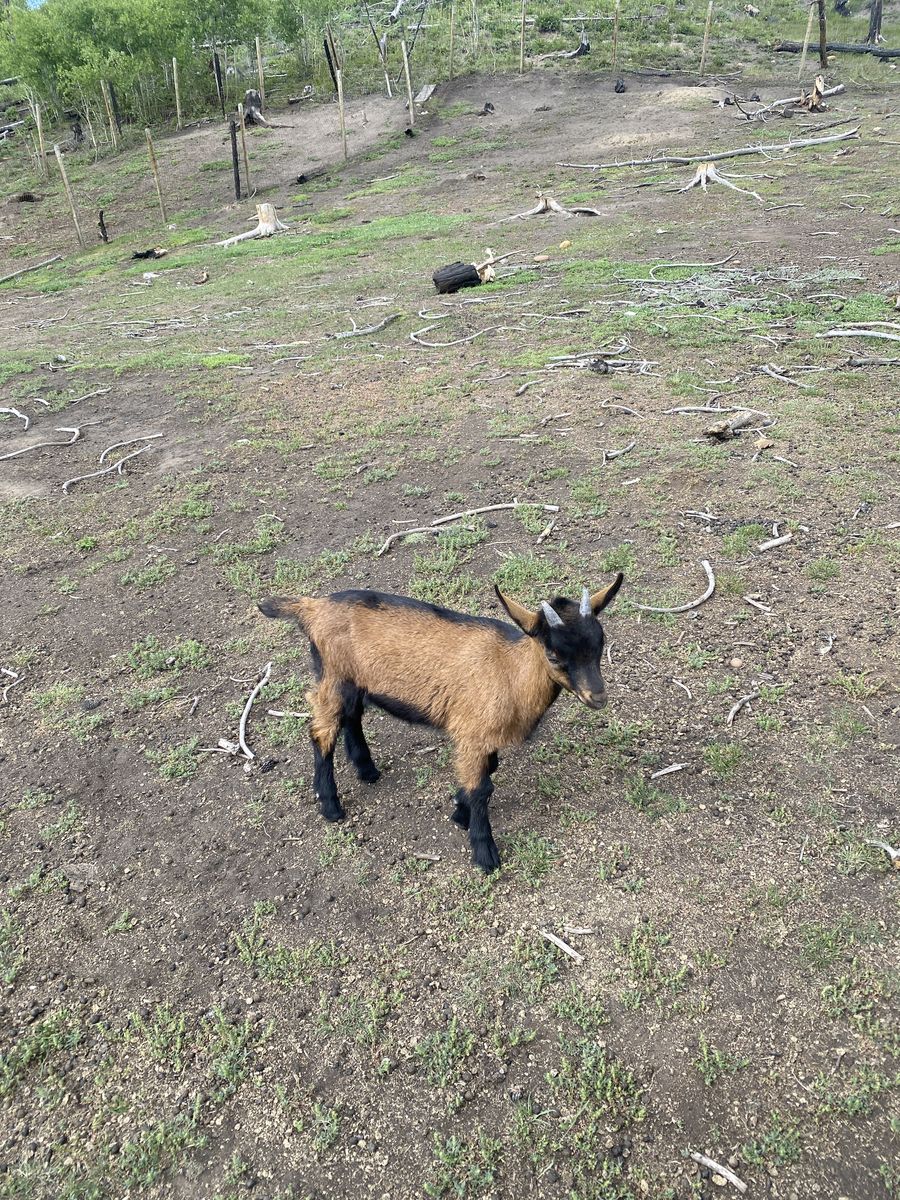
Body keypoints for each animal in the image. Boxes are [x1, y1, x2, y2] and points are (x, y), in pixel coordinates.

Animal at [258, 575, 623, 873]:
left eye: (600, 644)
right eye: (553, 655)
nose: (598, 697)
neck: (509, 671)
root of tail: (313, 607)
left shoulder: (481, 735)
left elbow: (487, 770)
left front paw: (459, 812)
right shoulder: (471, 732)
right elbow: (482, 788)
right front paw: (484, 854)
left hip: (353, 679)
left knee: (351, 716)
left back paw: (367, 770)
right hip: (332, 675)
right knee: (321, 731)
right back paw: (331, 806)